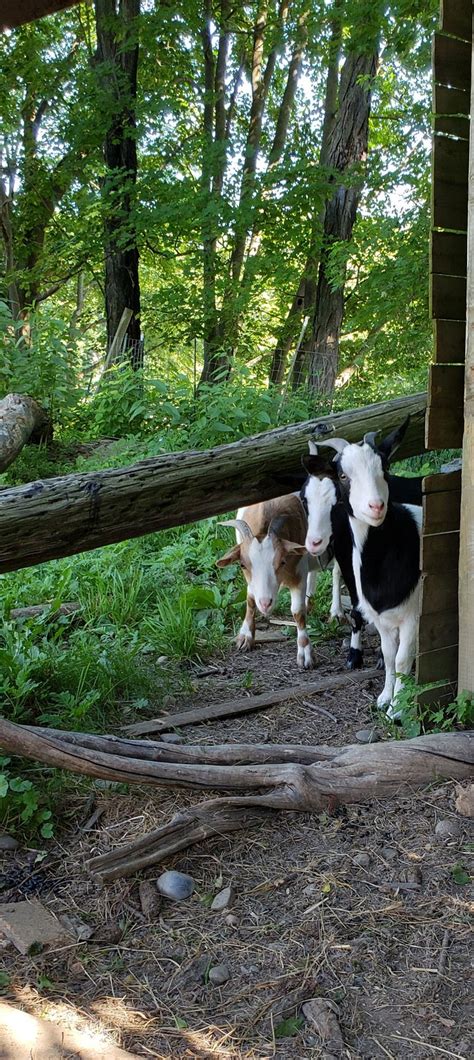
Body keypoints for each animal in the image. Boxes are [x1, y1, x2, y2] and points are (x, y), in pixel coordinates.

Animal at [216, 494, 321, 669]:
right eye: (242, 565)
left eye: (282, 562)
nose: (265, 604)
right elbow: (250, 600)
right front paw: (245, 636)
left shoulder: (299, 573)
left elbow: (297, 612)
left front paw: (305, 652)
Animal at [317, 422, 422, 716]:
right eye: (343, 475)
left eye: (385, 467)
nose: (376, 506)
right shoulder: (384, 619)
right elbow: (389, 655)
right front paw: (385, 698)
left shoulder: (413, 613)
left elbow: (402, 659)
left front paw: (397, 711)